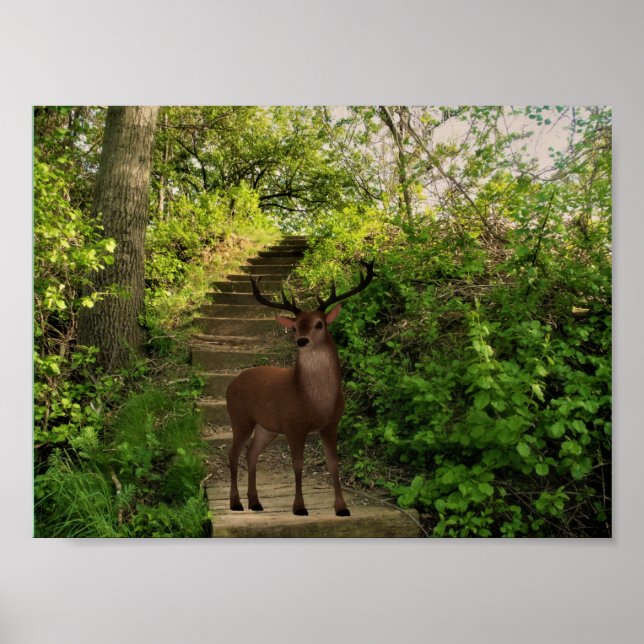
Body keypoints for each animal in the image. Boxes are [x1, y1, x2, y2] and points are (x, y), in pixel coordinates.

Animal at [225, 260, 374, 517]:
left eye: (319, 324)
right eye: (294, 327)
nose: (302, 340)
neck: (312, 400)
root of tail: (230, 384)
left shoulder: (331, 424)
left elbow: (334, 464)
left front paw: (342, 507)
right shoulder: (294, 425)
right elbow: (297, 465)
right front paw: (300, 507)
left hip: (267, 426)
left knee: (251, 452)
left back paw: (255, 503)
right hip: (240, 417)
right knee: (233, 454)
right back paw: (236, 503)